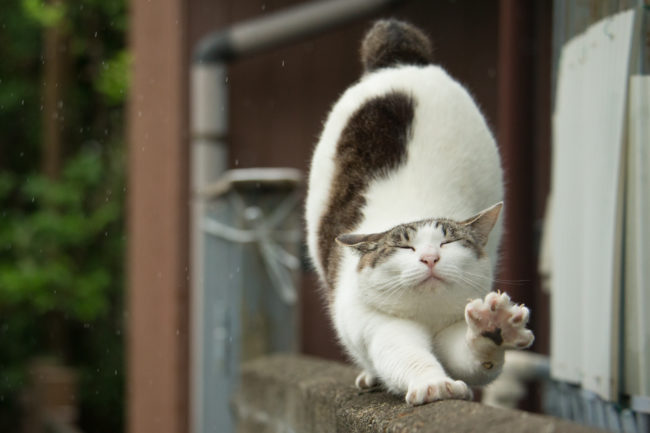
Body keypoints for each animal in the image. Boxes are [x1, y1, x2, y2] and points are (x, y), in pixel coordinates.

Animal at [304, 19, 532, 404]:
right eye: (404, 247)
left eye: (447, 243)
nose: (429, 257)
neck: (427, 318)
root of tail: (400, 59)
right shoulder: (379, 326)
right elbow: (406, 356)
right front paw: (433, 383)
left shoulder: (453, 329)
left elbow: (473, 358)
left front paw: (493, 329)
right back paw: (370, 375)